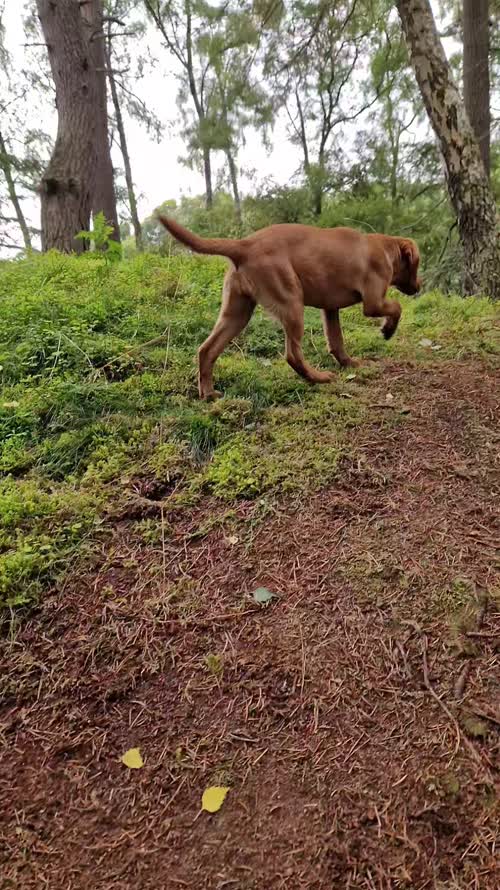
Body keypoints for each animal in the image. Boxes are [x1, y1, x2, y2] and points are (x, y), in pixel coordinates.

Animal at [157, 215, 422, 398]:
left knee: (207, 350)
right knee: (292, 354)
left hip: (237, 312)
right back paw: (318, 378)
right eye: (417, 264)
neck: (385, 249)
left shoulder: (330, 309)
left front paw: (350, 364)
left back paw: (209, 394)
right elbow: (397, 307)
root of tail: (245, 244)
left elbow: (336, 341)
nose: (420, 287)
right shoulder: (373, 302)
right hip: (291, 301)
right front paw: (387, 330)